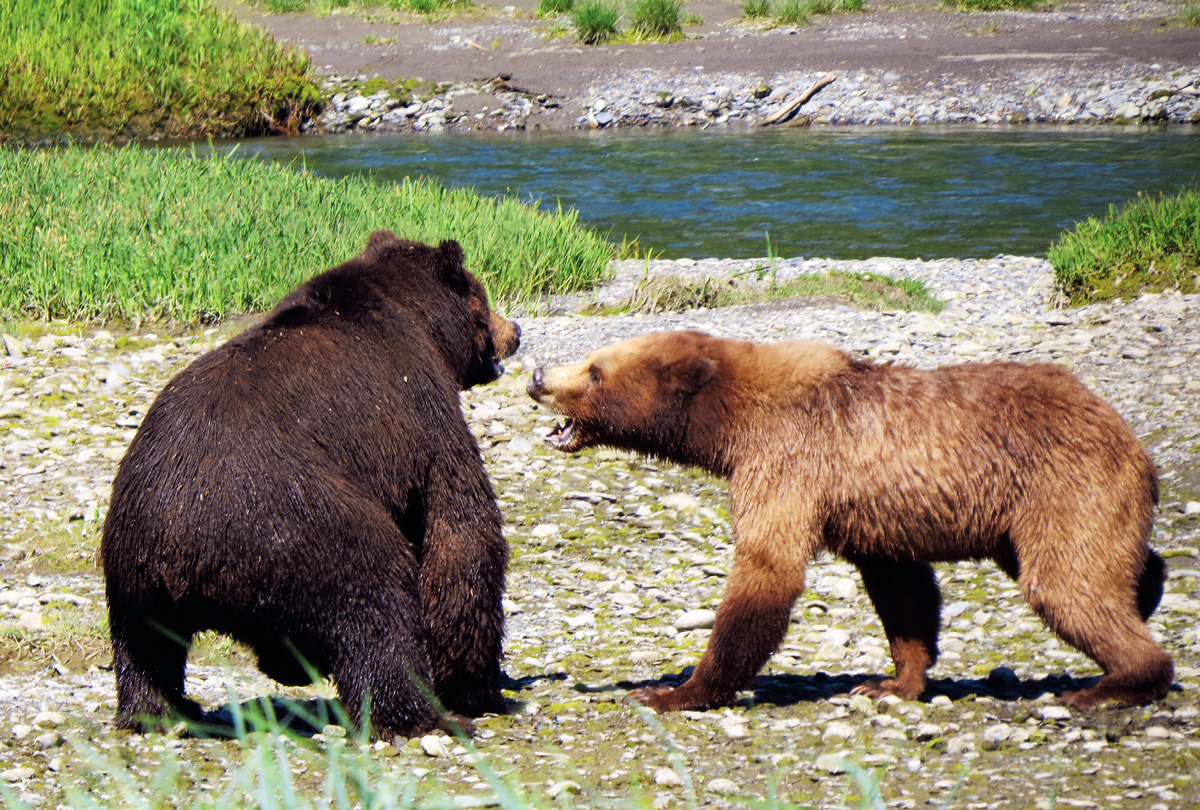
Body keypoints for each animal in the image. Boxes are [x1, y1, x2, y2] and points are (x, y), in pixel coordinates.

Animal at [99, 231, 520, 739]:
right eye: (485, 299)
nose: (516, 330)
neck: (419, 319)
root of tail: (178, 552)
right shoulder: (418, 409)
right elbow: (461, 531)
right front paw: (478, 687)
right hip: (295, 521)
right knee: (374, 596)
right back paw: (421, 715)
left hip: (132, 560)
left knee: (145, 646)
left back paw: (162, 709)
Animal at [525, 328, 1171, 710]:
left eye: (594, 370)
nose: (537, 378)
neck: (727, 425)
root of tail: (1131, 438)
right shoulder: (871, 510)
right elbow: (902, 590)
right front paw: (892, 680)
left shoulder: (787, 462)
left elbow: (767, 570)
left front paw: (674, 689)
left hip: (1062, 484)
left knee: (1068, 581)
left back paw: (1116, 683)